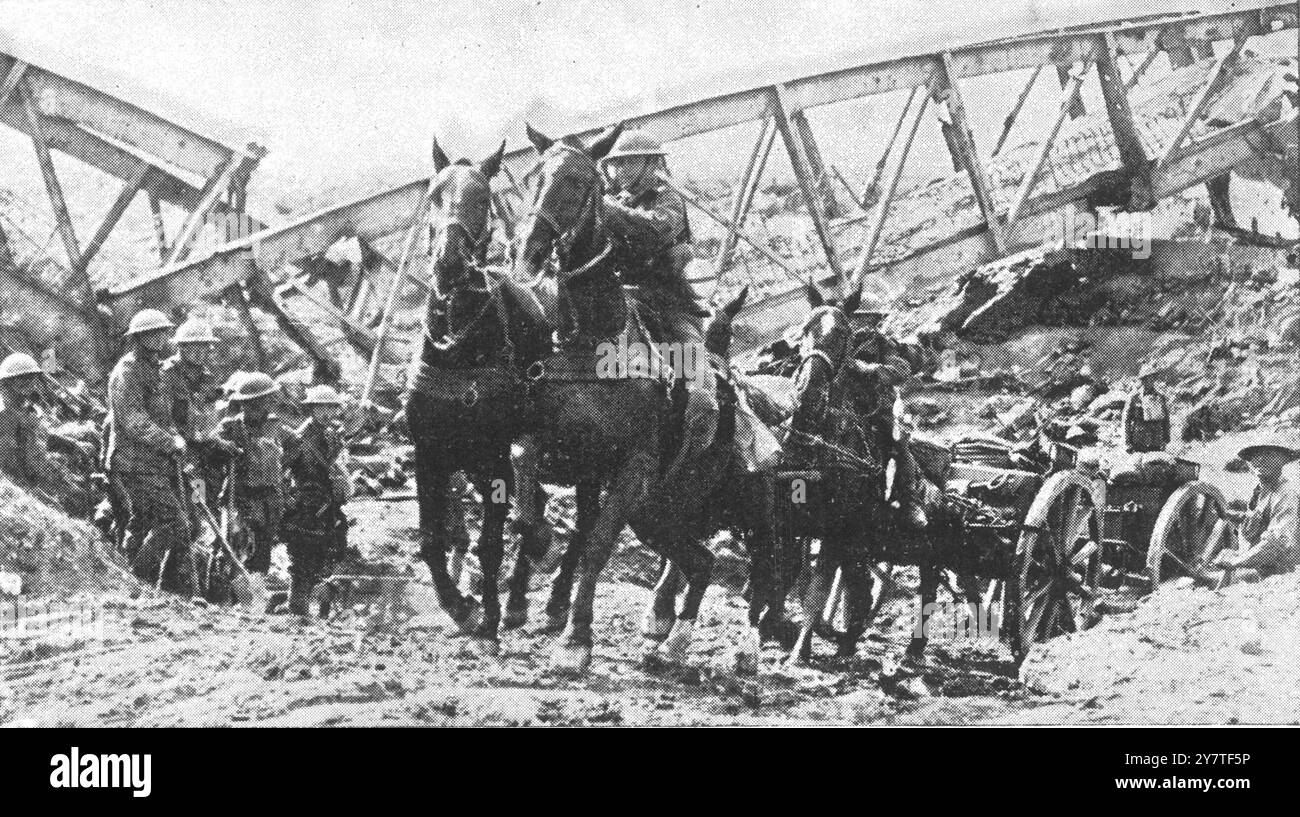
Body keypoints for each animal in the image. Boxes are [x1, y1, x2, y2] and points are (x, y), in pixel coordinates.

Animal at [403, 138, 551, 650]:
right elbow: (432, 539)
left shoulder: (494, 458)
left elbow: (492, 542)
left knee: (530, 516)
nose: (449, 263)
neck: (458, 346)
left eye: (483, 198)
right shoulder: (429, 453)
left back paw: (516, 602)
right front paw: (458, 605)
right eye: (433, 194)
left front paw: (486, 615)